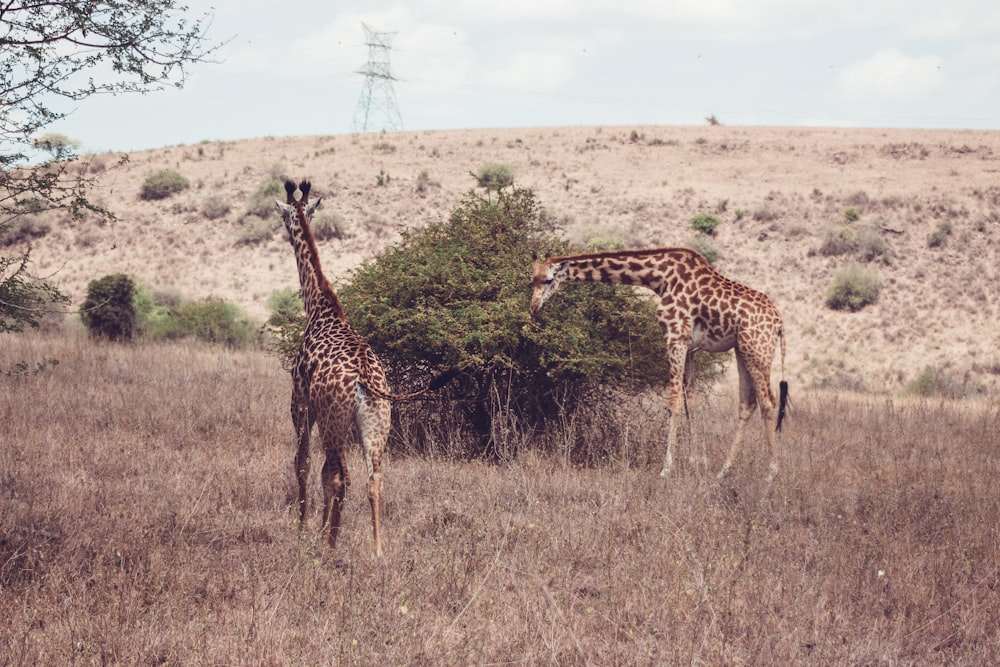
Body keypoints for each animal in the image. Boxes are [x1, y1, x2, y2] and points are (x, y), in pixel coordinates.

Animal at [278, 180, 458, 556]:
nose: (285, 232)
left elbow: (303, 464)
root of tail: (364, 377)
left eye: (285, 216)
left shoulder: (300, 402)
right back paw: (376, 550)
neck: (319, 306)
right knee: (373, 479)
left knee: (339, 476)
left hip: (334, 420)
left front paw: (303, 531)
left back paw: (332, 546)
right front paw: (318, 530)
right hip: (377, 423)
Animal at [532, 248, 788, 482]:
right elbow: (690, 404)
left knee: (768, 401)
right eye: (531, 280)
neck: (660, 277)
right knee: (747, 403)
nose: (534, 307)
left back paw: (771, 473)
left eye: (548, 279)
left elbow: (673, 402)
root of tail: (779, 322)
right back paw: (723, 471)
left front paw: (666, 468)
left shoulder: (675, 339)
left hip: (757, 350)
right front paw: (695, 461)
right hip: (742, 349)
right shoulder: (689, 347)